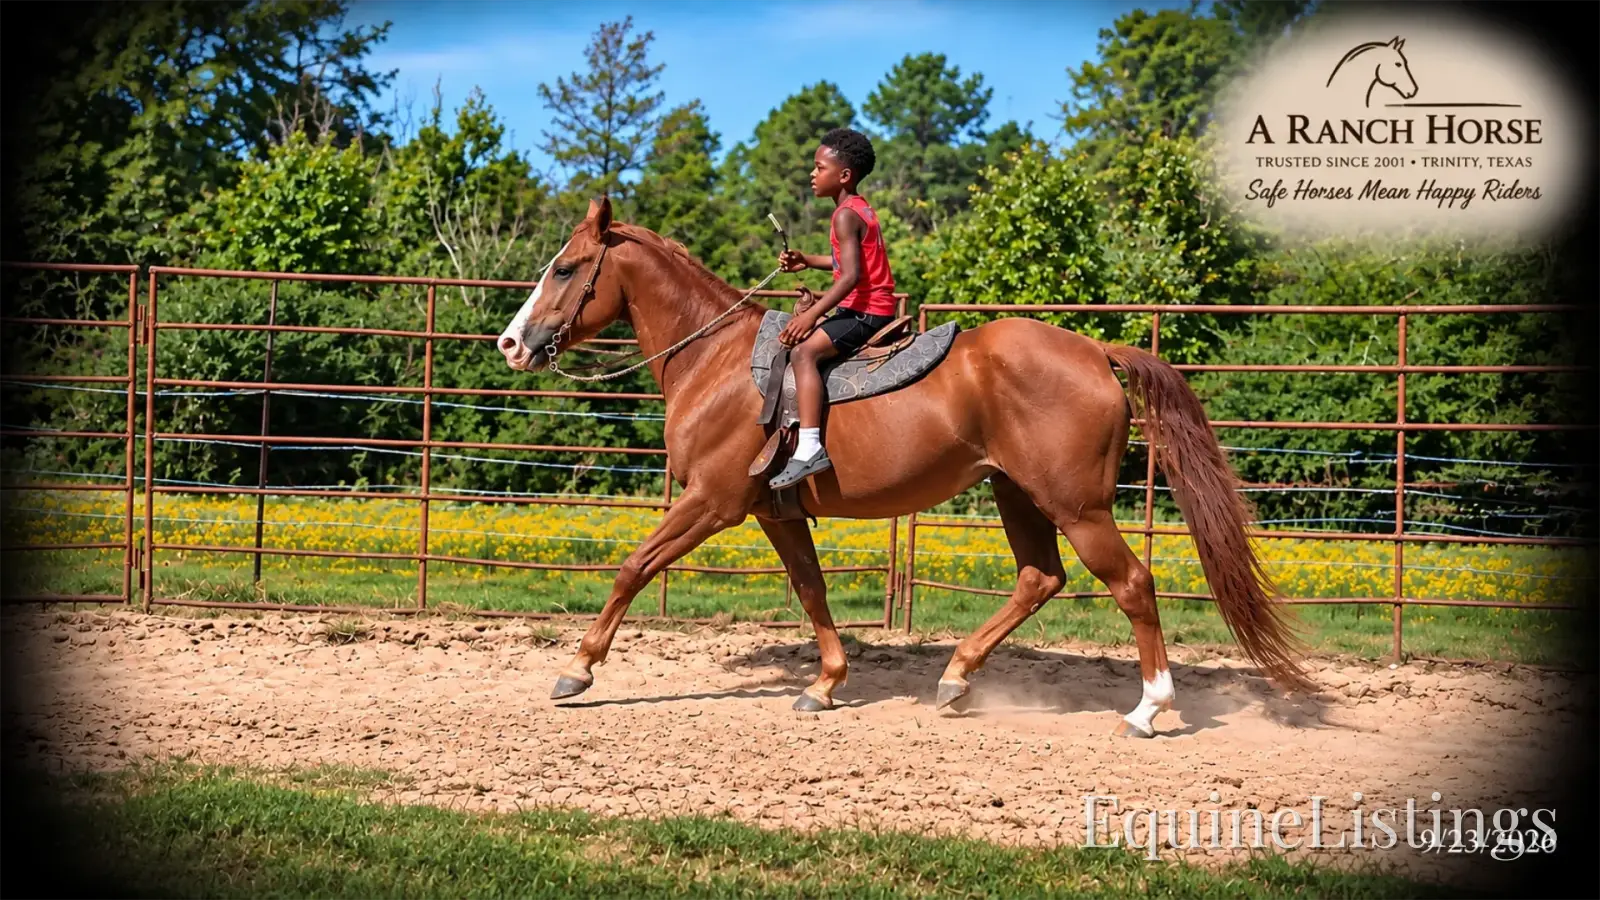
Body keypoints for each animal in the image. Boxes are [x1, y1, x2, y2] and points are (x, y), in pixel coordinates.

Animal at [496, 196, 1316, 739]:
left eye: (566, 268)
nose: (510, 343)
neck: (719, 363)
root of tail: (1094, 351)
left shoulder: (713, 502)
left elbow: (634, 567)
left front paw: (579, 669)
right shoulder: (772, 512)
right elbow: (812, 590)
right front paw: (825, 685)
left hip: (1078, 507)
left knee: (1133, 585)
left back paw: (1149, 708)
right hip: (1016, 493)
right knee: (1039, 578)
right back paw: (956, 677)